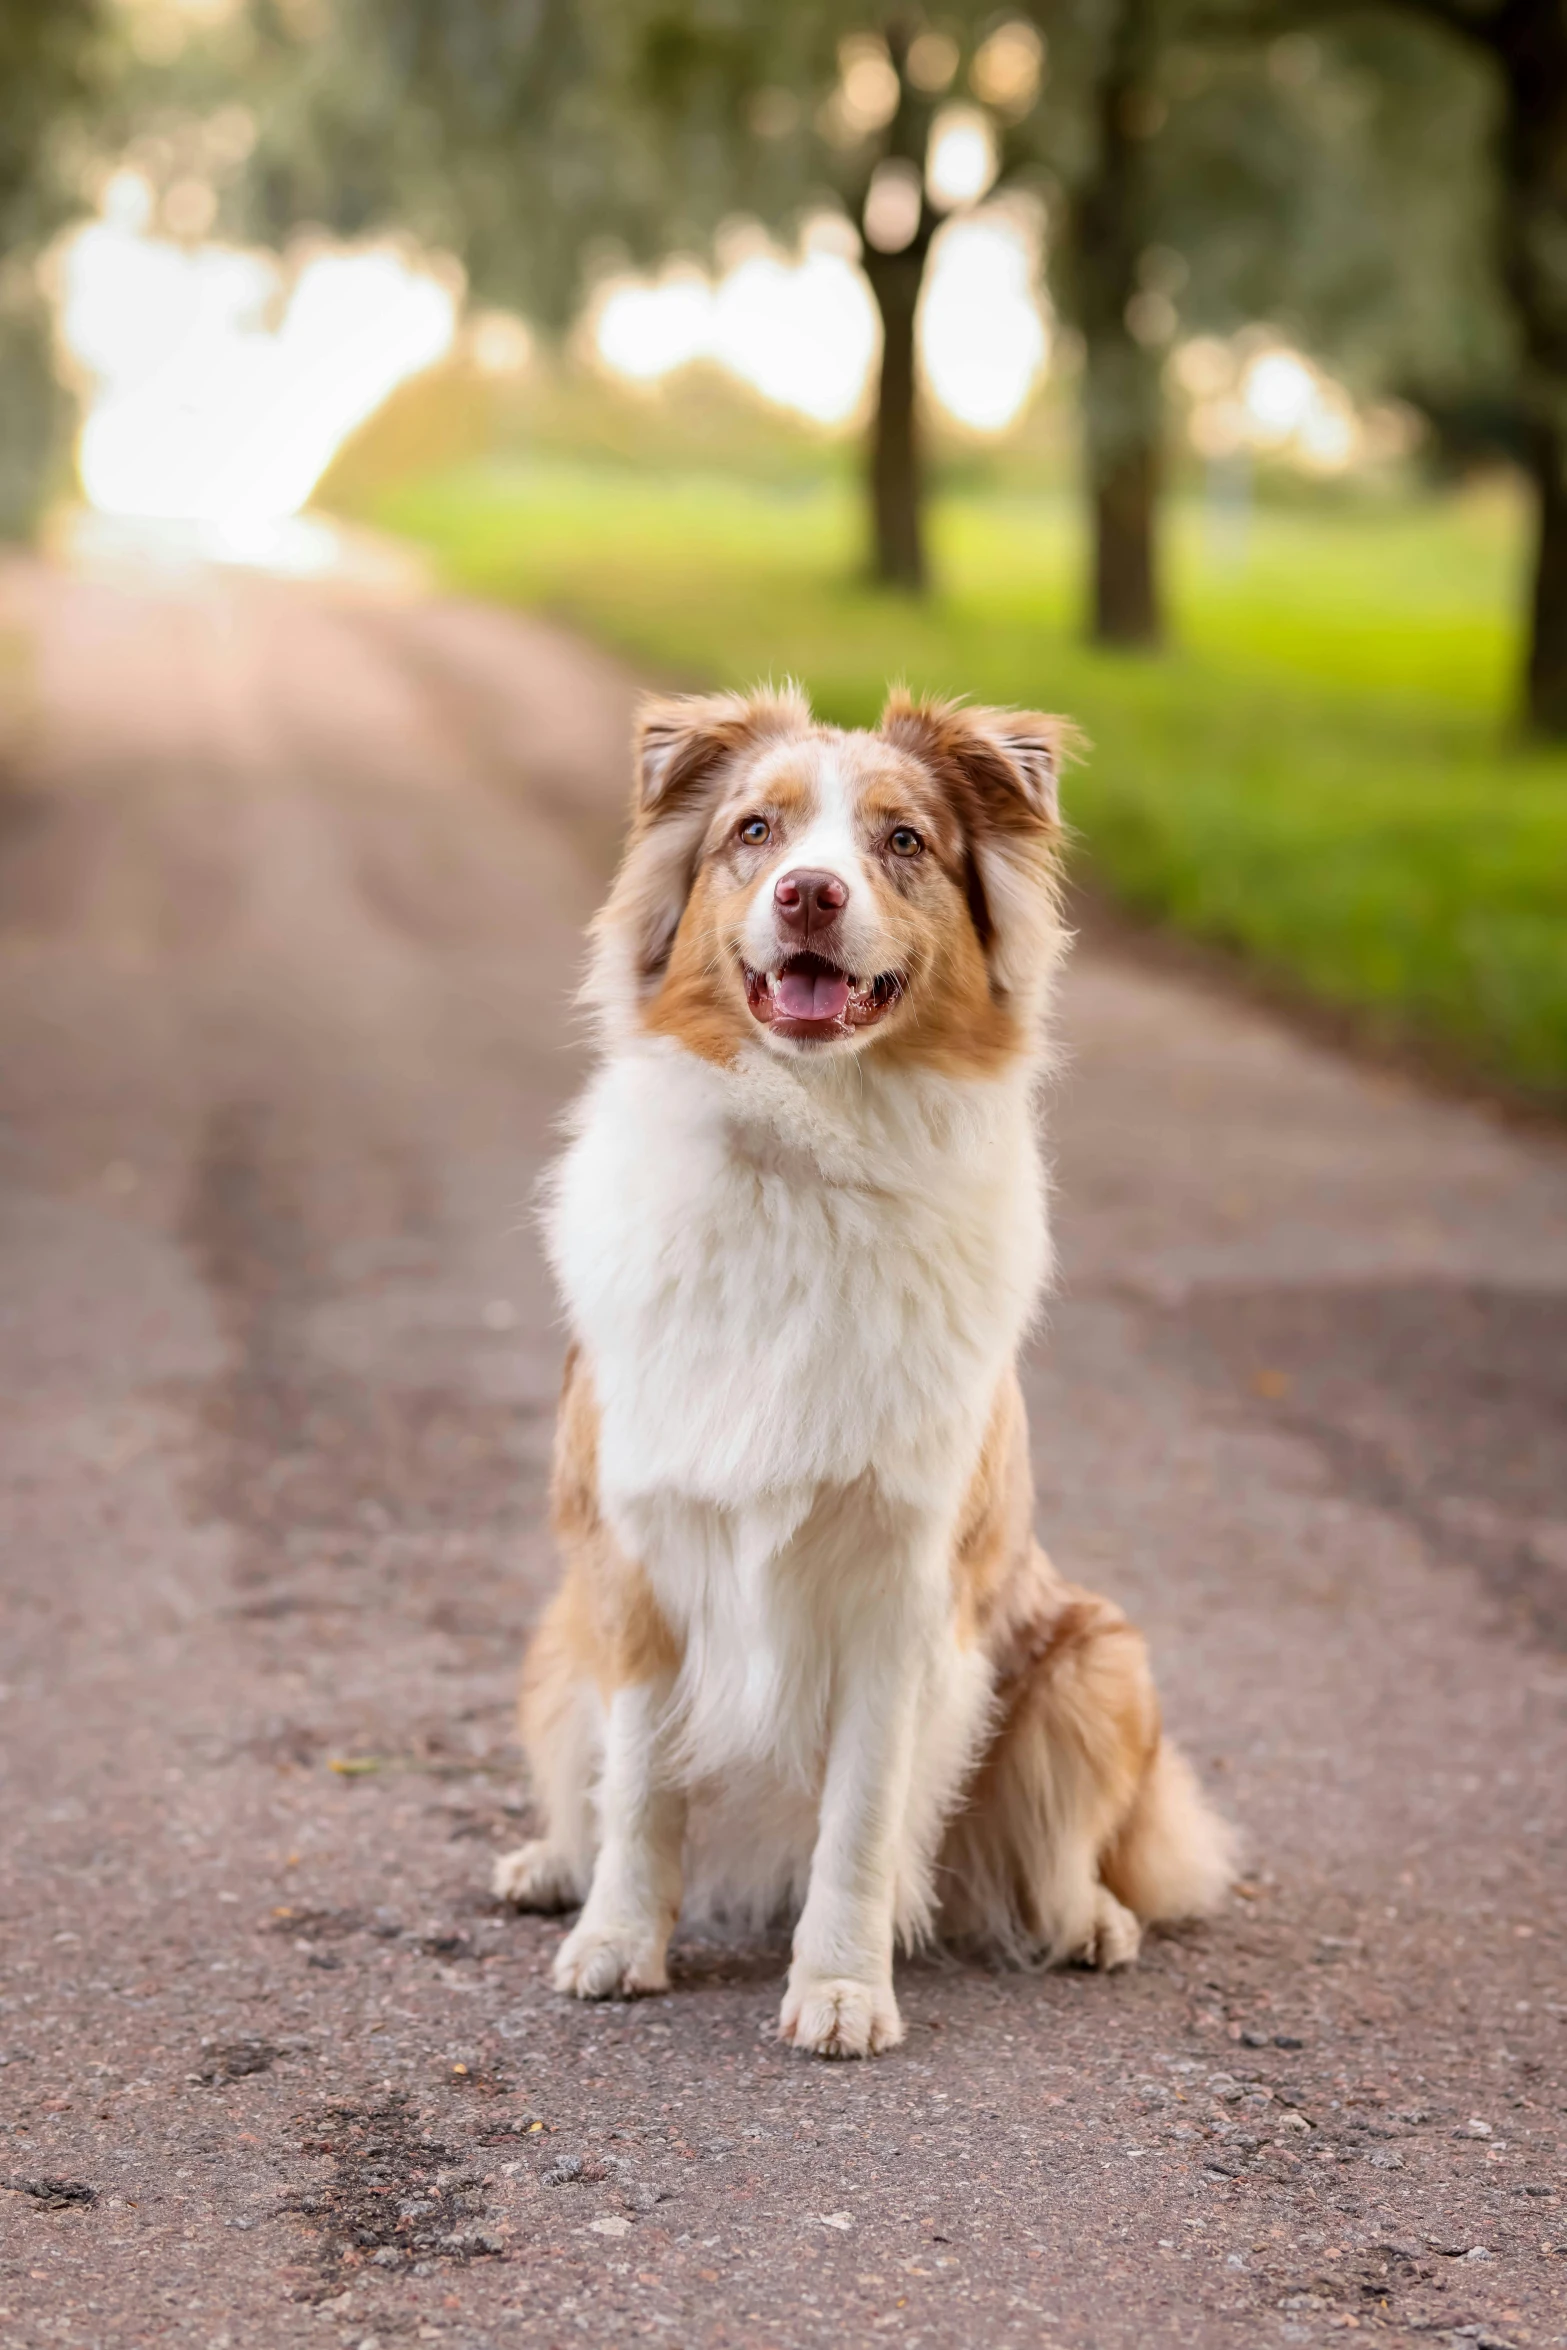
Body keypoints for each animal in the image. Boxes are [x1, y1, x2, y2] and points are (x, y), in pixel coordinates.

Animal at [495, 681, 1231, 2058]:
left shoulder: (902, 1586)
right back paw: (549, 1866)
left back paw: (1085, 1921)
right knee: (589, 1784)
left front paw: (840, 1986)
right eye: (755, 830)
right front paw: (616, 1941)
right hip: (557, 1641)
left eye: (902, 841)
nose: (808, 895)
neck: (806, 1156)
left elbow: (859, 1816)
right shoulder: (637, 1559)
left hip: (1095, 1657)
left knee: (1061, 1857)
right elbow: (640, 1791)